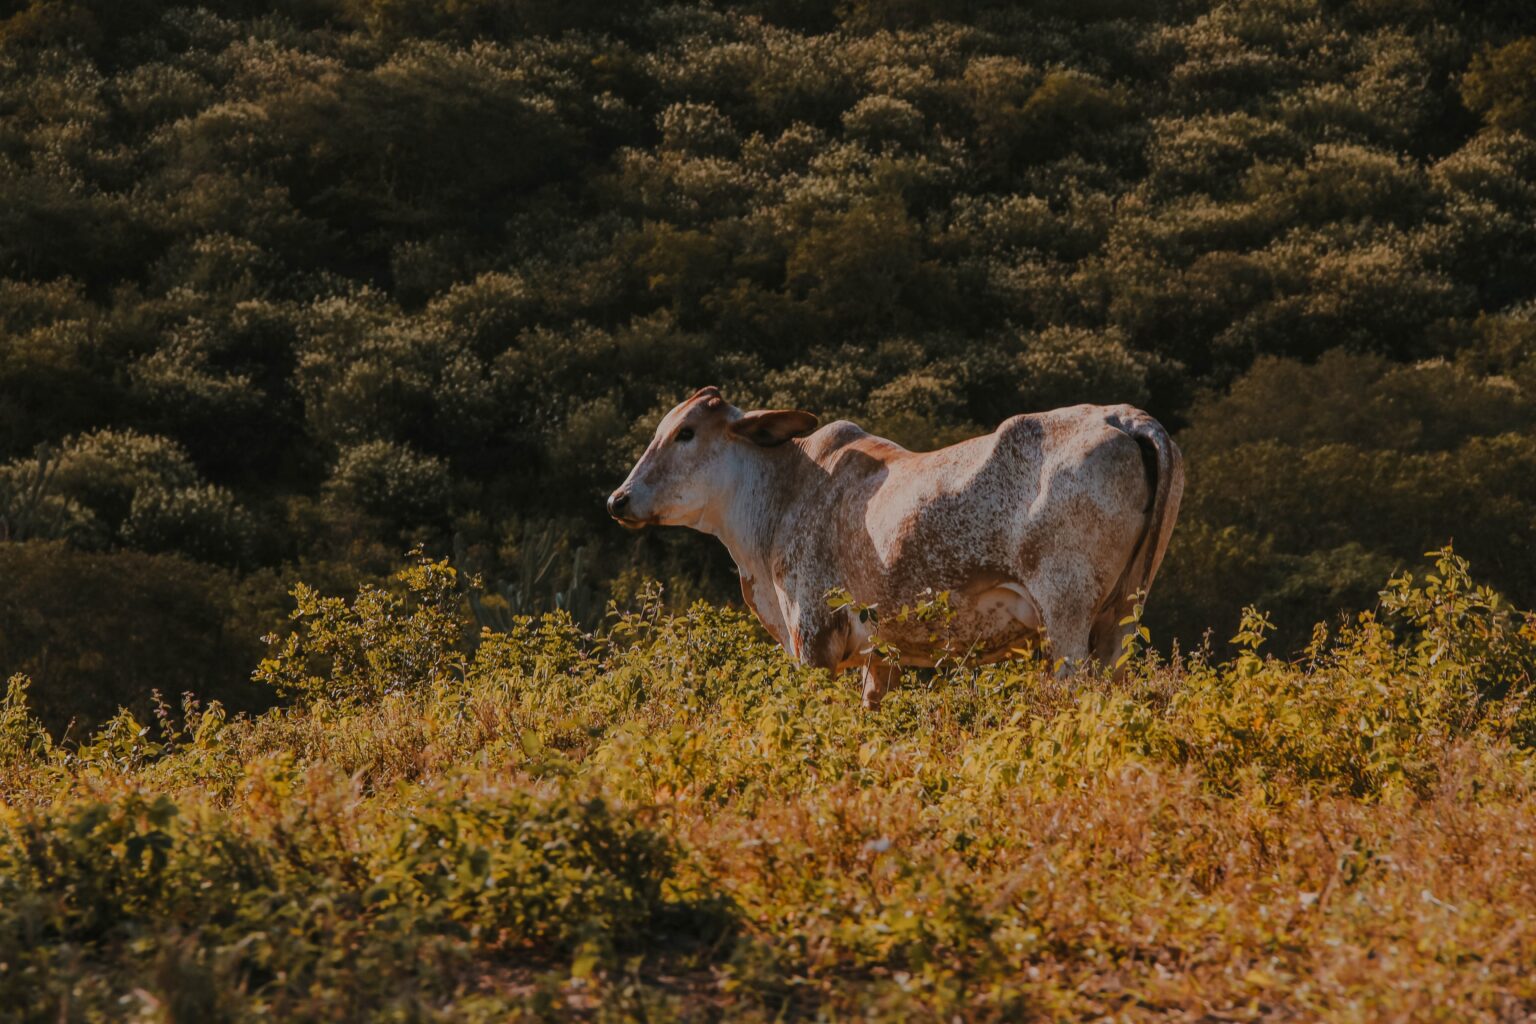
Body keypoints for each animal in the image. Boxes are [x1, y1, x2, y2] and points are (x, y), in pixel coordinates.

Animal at [605, 388, 1179, 709]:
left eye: (685, 432)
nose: (618, 498)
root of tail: (1123, 417)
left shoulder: (812, 635)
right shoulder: (879, 654)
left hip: (1067, 615)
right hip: (1124, 614)